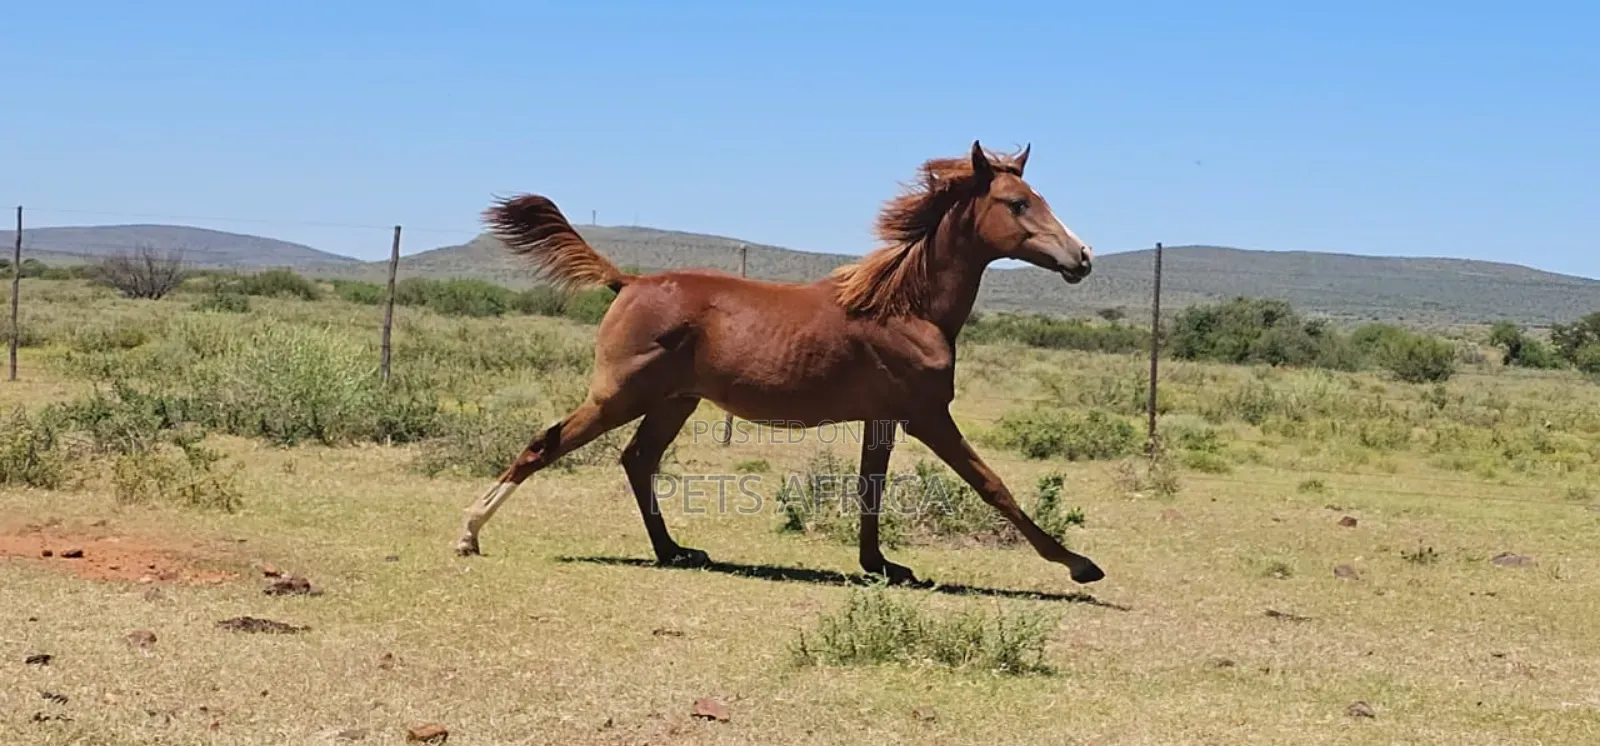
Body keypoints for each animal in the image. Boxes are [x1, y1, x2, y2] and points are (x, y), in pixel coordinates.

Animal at [454, 141, 1104, 586]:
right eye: (1018, 203)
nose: (1083, 257)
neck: (904, 306)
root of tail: (629, 282)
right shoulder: (926, 417)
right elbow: (992, 484)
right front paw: (1077, 564)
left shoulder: (883, 418)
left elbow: (871, 488)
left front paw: (880, 565)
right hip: (621, 396)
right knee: (546, 443)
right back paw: (470, 532)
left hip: (673, 402)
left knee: (637, 461)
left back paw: (675, 551)